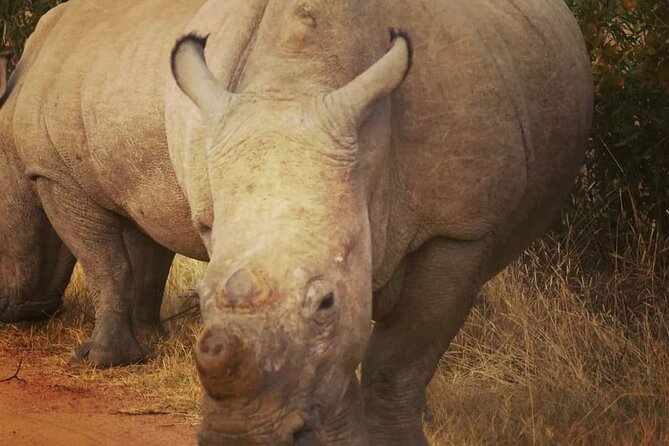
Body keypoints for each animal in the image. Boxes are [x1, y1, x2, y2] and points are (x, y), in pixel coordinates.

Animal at [0, 0, 593, 444]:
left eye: (326, 300)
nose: (244, 435)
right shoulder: (117, 180)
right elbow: (131, 261)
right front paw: (135, 349)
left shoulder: (459, 232)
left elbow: (397, 361)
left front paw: (98, 361)